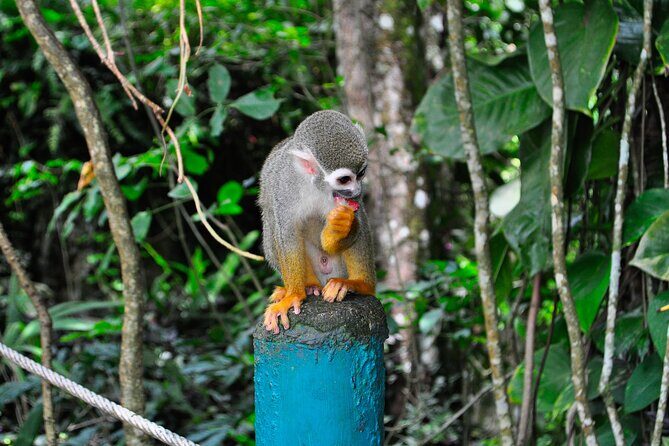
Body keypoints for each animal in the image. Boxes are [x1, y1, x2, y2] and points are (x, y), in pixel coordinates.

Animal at [258, 110, 376, 334]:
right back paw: (308, 286)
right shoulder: (284, 185)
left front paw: (341, 227)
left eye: (361, 173)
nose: (357, 190)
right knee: (271, 224)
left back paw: (361, 284)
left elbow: (352, 226)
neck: (316, 184)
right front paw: (294, 295)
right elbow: (286, 233)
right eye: (344, 179)